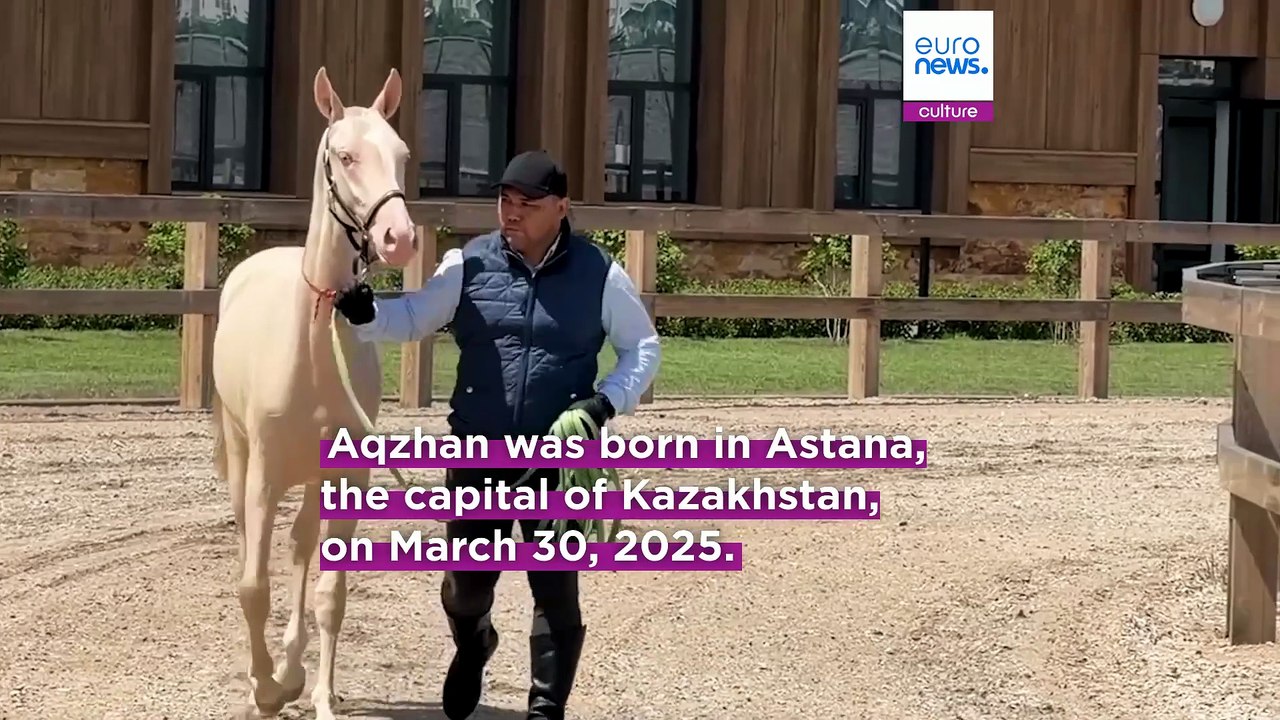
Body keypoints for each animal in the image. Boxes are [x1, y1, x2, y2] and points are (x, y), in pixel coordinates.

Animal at [210, 66, 419, 719]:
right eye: (345, 155)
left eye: (401, 154)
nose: (399, 237)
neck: (314, 350)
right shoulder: (265, 475)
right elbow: (252, 586)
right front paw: (264, 689)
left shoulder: (347, 475)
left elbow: (331, 591)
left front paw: (319, 694)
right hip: (244, 455)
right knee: (254, 546)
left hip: (313, 479)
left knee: (303, 548)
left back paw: (294, 664)